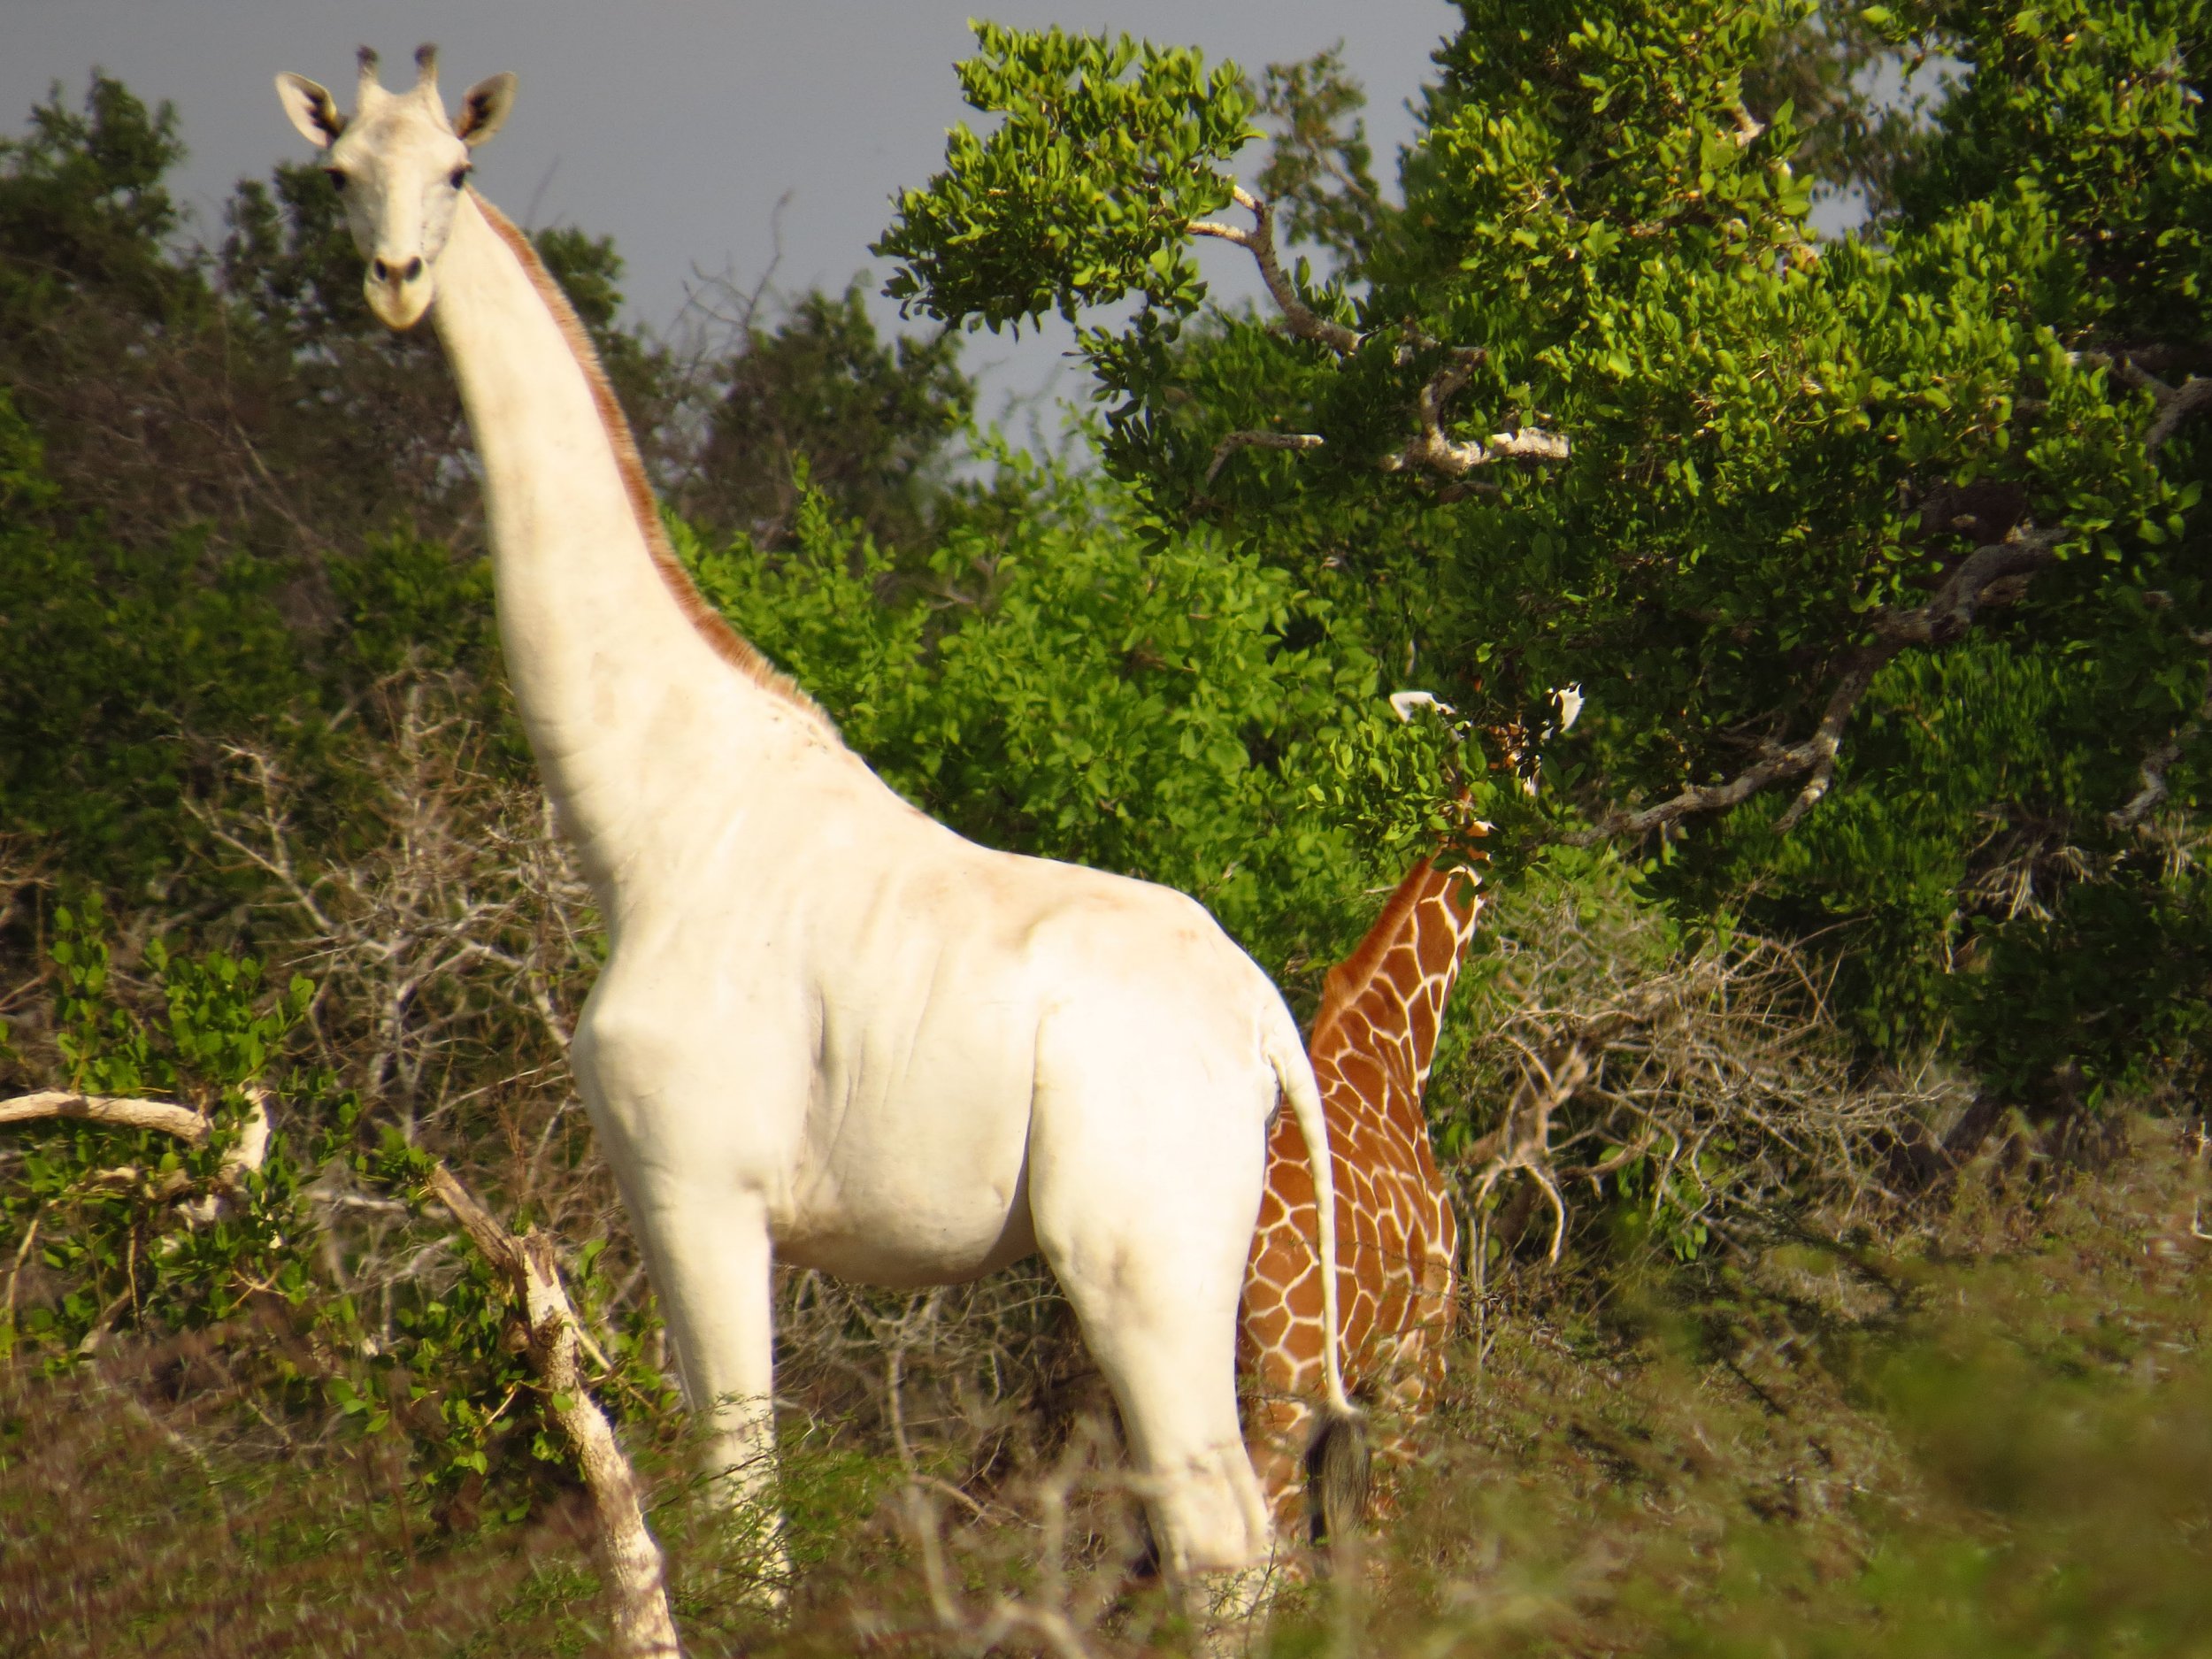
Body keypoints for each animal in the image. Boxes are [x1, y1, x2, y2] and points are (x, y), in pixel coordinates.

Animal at [267, 49, 1354, 1584]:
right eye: (340, 171)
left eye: (461, 171)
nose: (399, 280)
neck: (654, 819)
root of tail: (1267, 1023)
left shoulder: (697, 1181)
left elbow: (742, 1512)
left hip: (1136, 1256)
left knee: (1221, 1538)